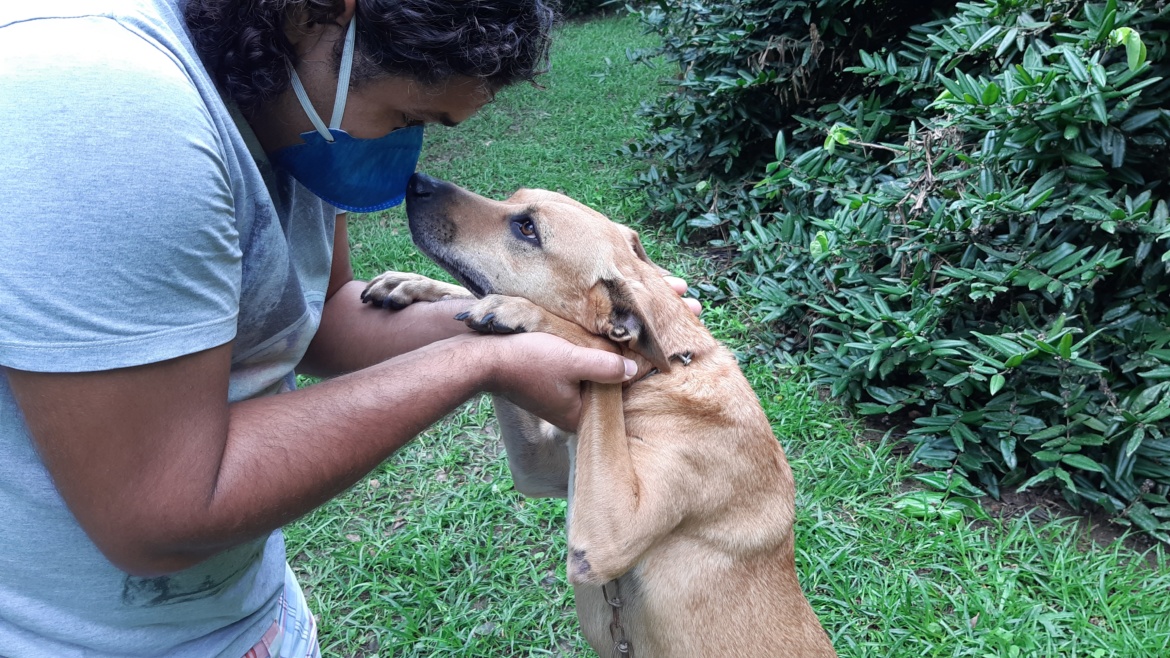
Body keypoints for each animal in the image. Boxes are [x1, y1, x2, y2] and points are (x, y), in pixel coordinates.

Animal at [362, 174, 836, 657]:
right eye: (514, 199)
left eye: (528, 229)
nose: (415, 181)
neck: (665, 373)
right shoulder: (542, 467)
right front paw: (412, 284)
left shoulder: (609, 536)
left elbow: (596, 342)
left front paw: (522, 311)